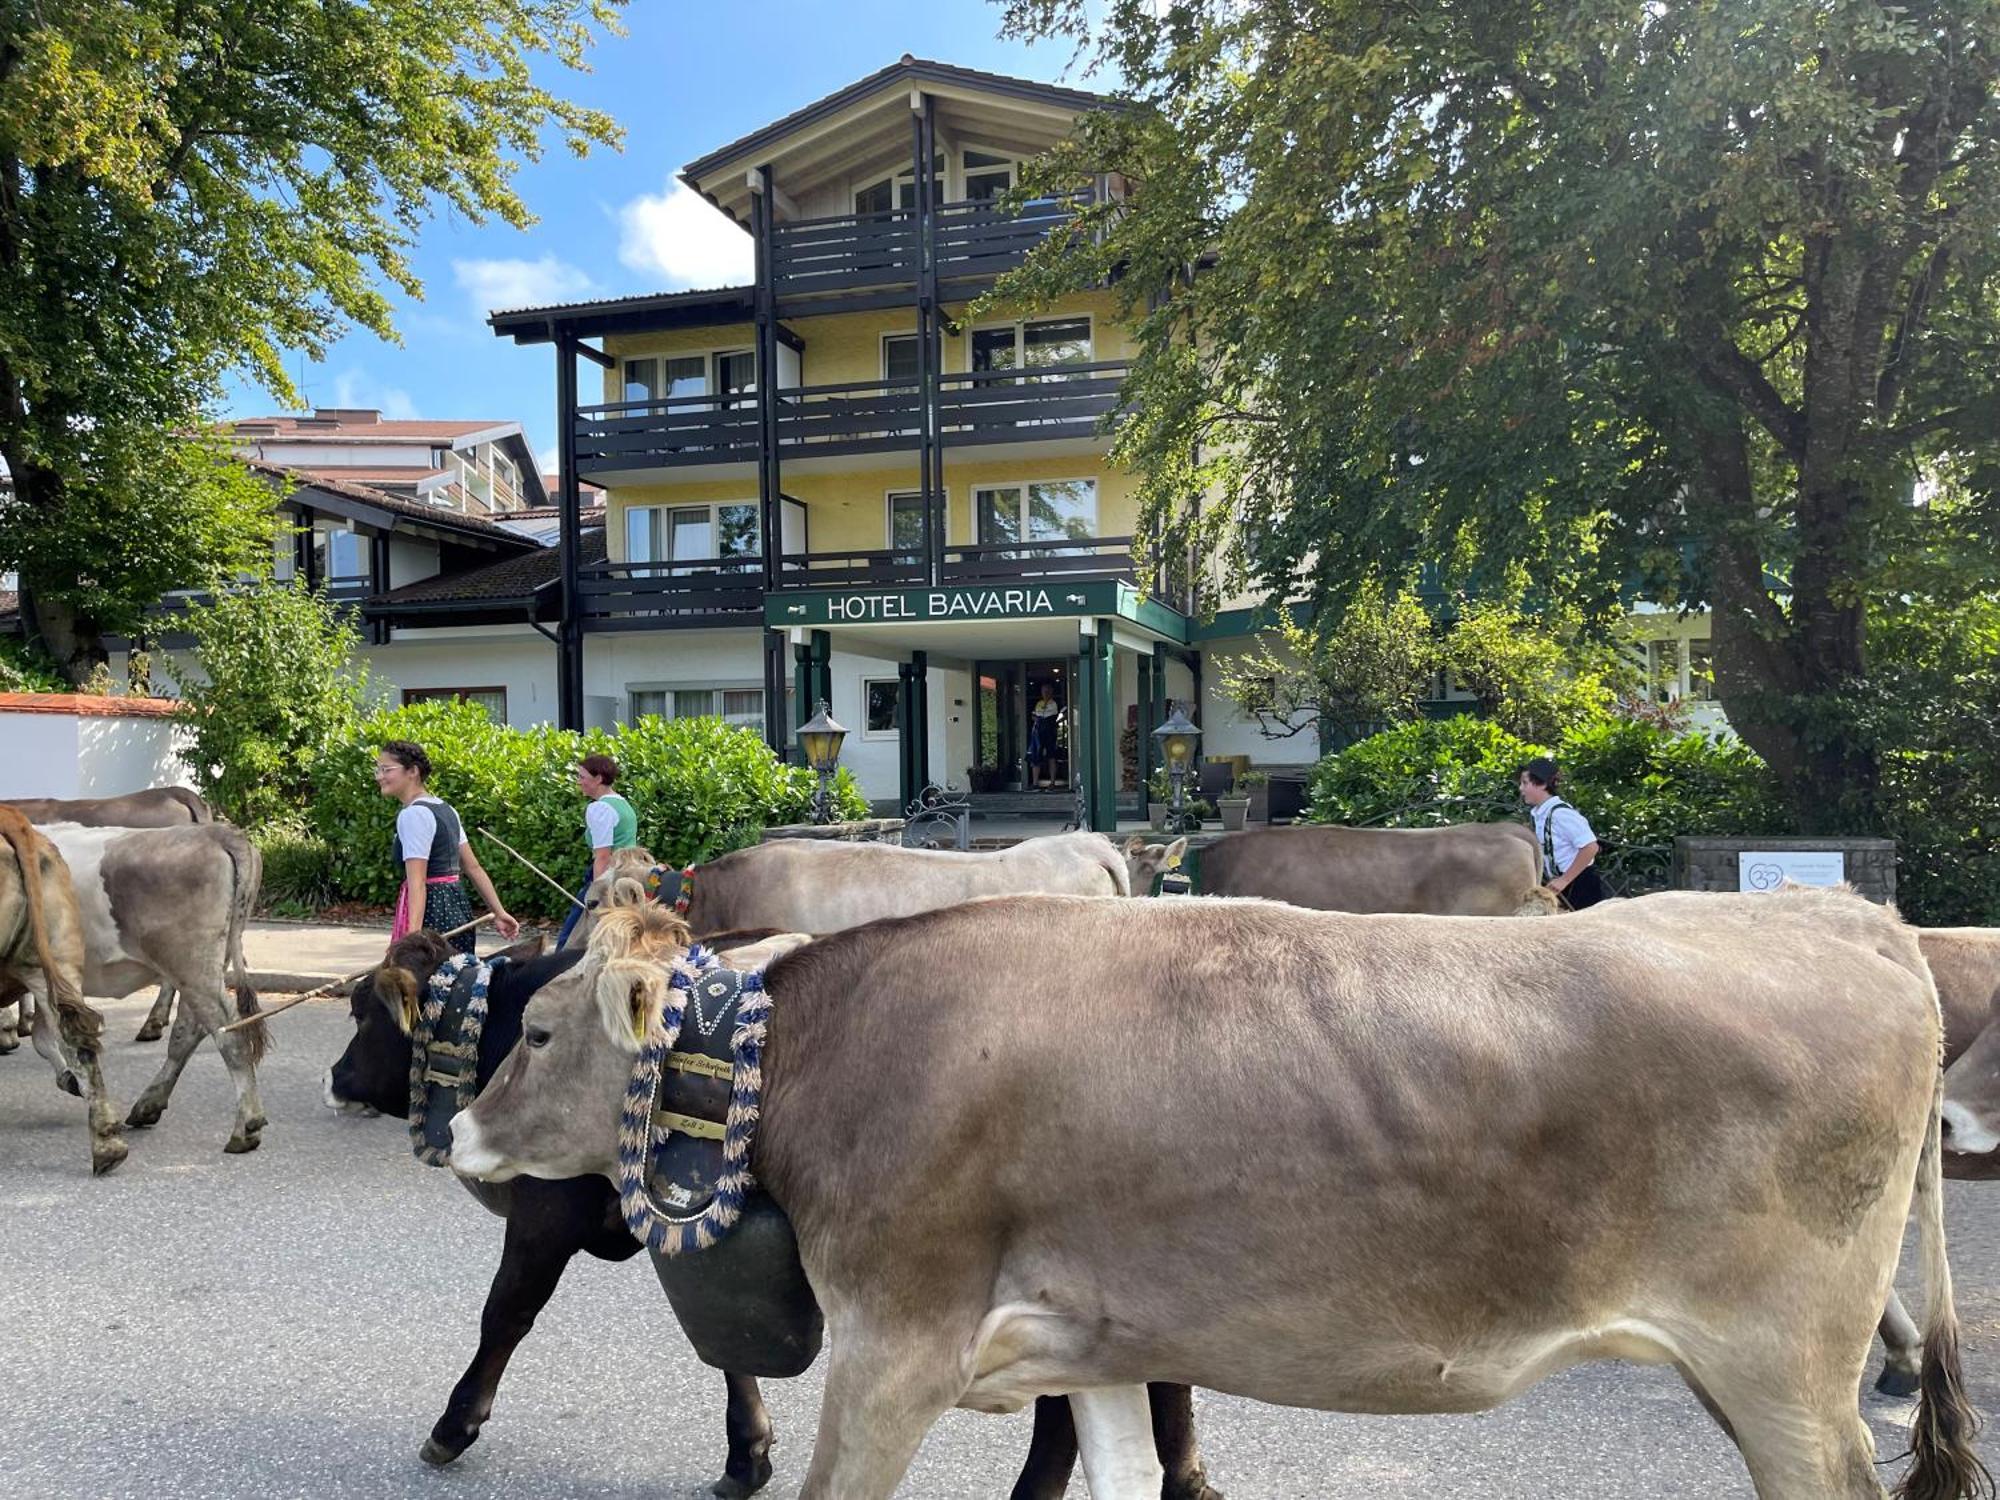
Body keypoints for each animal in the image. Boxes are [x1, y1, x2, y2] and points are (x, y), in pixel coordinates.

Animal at [458, 892, 1984, 1500]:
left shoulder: (899, 1335)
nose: (457, 1132)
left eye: (533, 1032)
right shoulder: (1091, 1347)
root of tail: (1847, 914)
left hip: (1780, 1363)